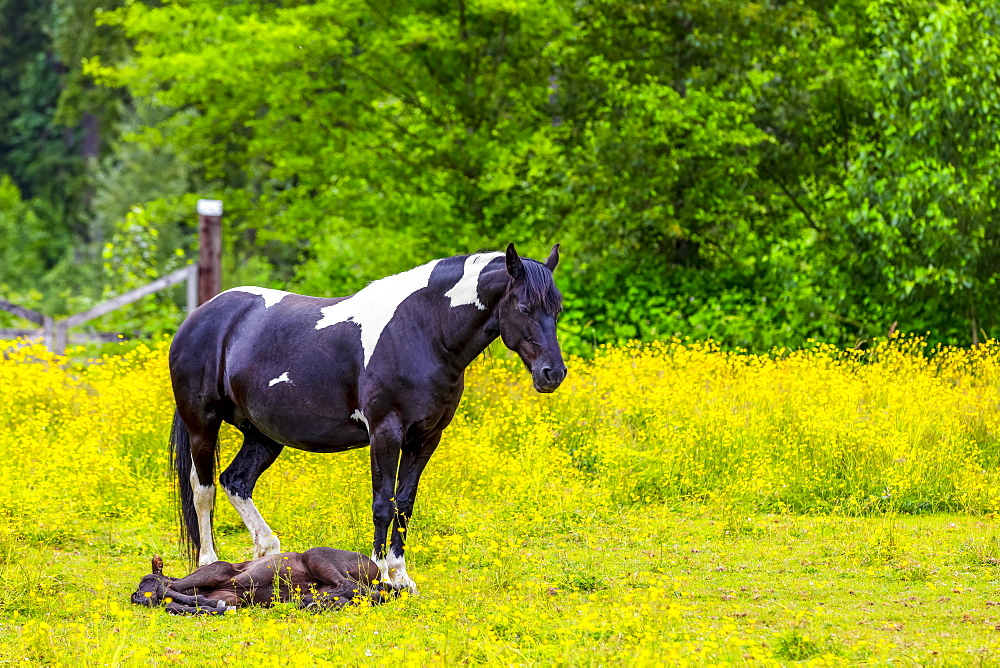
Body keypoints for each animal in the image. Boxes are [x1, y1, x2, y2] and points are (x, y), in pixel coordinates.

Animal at [131, 548, 384, 616]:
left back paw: (304, 602)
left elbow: (169, 587)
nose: (136, 597)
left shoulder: (220, 569)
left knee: (349, 586)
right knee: (355, 596)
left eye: (144, 579)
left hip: (315, 556)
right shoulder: (230, 596)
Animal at [168, 243, 568, 592]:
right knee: (203, 489)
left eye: (557, 309)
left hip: (263, 435)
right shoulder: (385, 434)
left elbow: (404, 506)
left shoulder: (425, 438)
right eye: (524, 307)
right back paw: (208, 562)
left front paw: (402, 577)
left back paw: (265, 555)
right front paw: (379, 576)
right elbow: (382, 505)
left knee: (236, 481)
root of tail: (201, 315)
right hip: (202, 424)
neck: (421, 331)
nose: (552, 374)